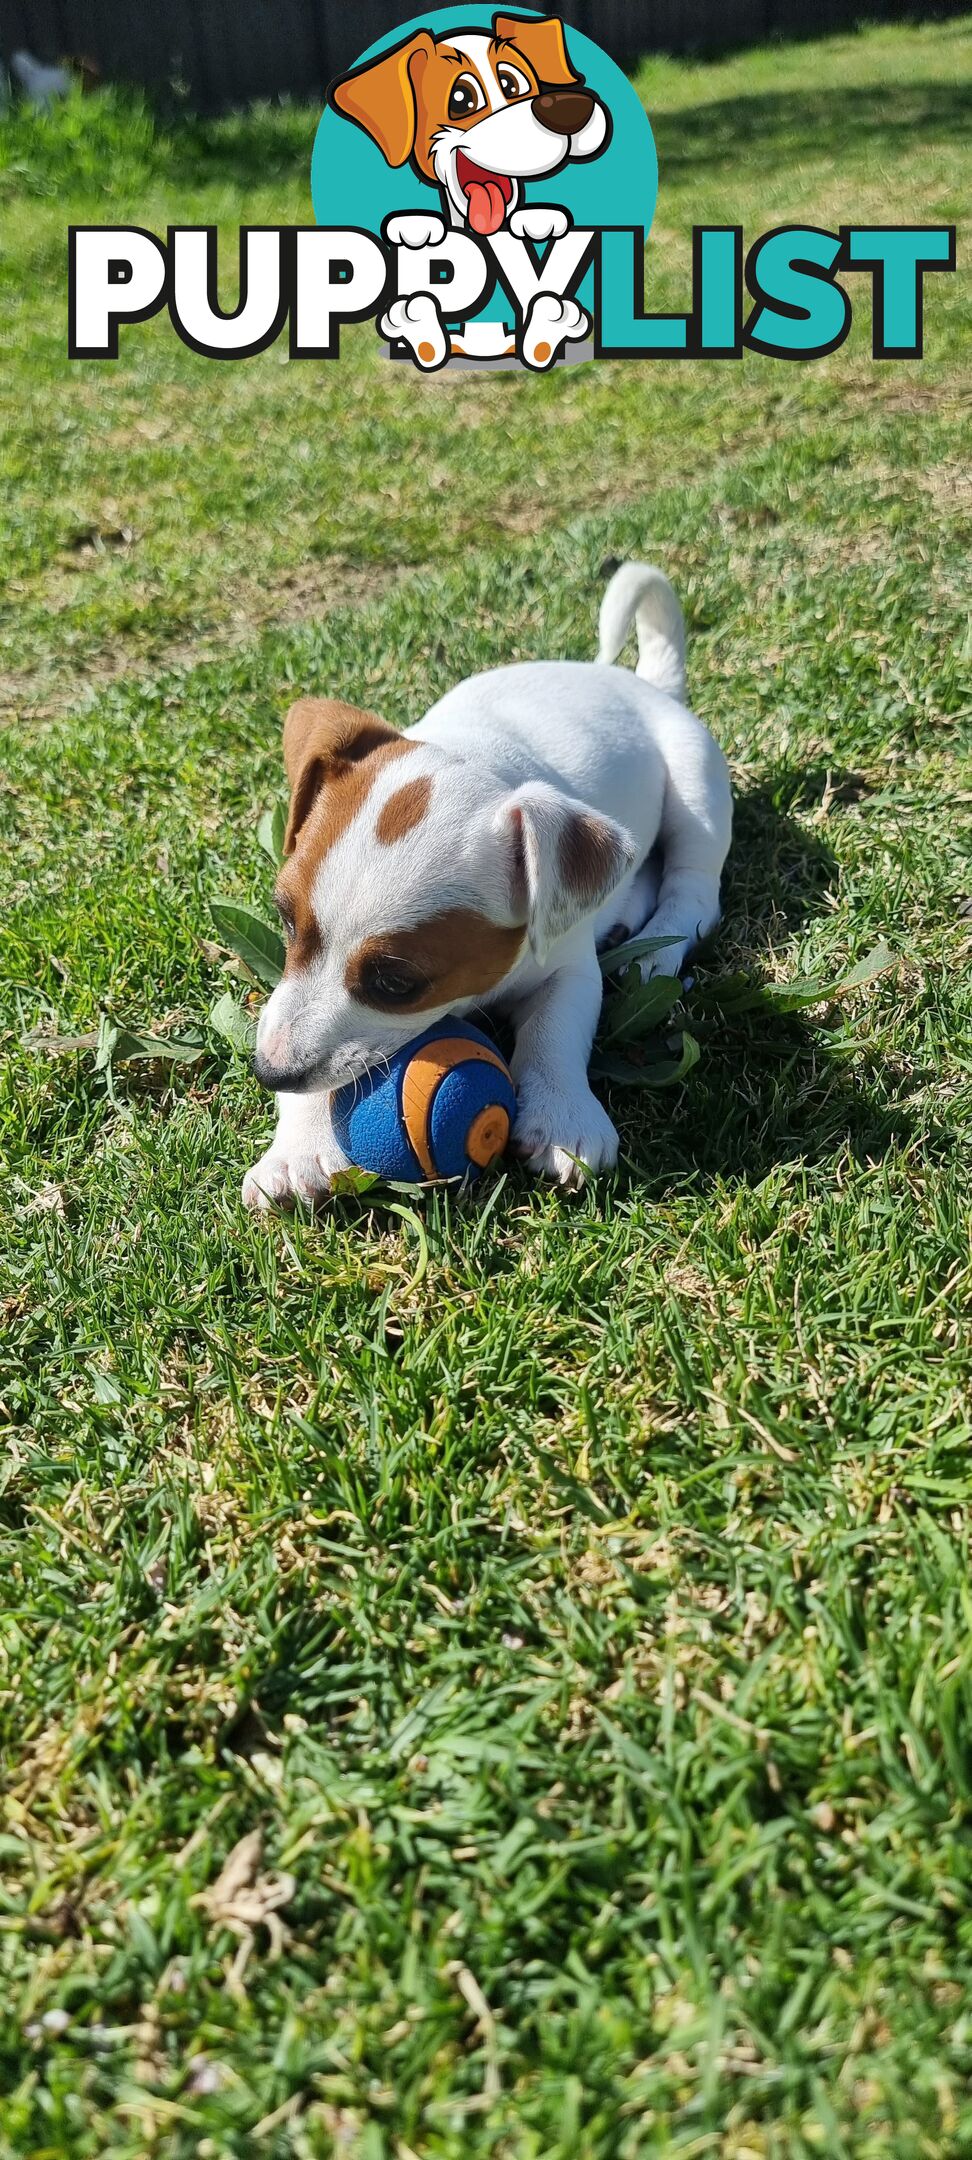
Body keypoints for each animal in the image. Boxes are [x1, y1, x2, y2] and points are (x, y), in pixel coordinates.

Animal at [243, 570, 730, 1218]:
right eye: (287, 921)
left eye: (396, 982)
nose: (269, 1072)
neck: (477, 753)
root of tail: (647, 685)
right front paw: (295, 1150)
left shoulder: (568, 970)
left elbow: (555, 1032)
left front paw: (562, 1118)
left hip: (697, 791)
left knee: (694, 891)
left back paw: (653, 951)